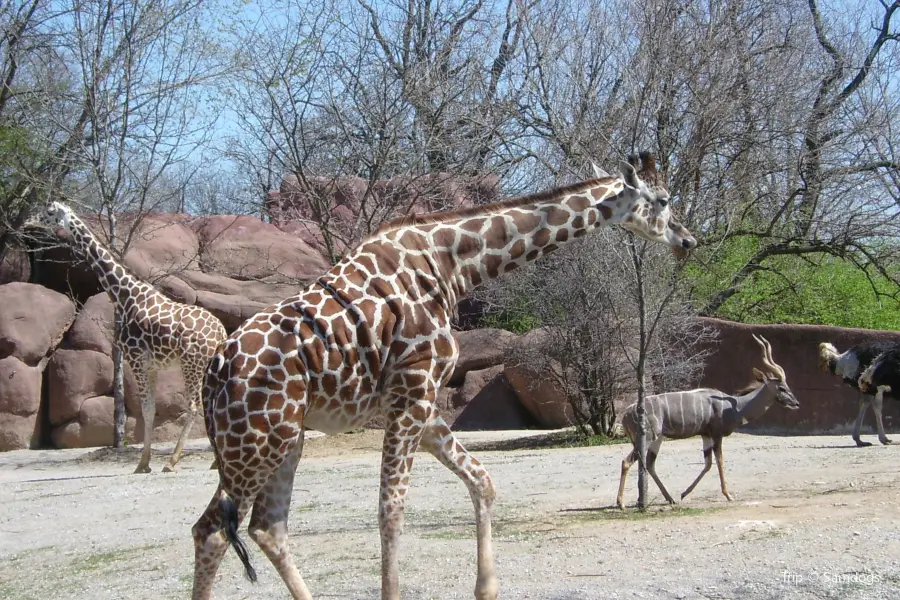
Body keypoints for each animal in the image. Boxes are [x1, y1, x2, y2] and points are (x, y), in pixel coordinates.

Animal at [31, 202, 229, 474]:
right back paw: (214, 460)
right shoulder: (151, 365)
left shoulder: (136, 358)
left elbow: (146, 410)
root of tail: (221, 331)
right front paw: (145, 462)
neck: (125, 296)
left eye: (49, 211)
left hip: (192, 363)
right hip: (207, 364)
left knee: (193, 406)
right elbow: (151, 408)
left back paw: (172, 462)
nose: (31, 221)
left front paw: (142, 464)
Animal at [188, 151, 696, 600]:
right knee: (212, 530)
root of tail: (214, 372)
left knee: (265, 527)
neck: (451, 267)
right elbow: (391, 512)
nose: (688, 240)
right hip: (254, 443)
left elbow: (483, 482)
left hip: (284, 439)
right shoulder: (412, 392)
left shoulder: (424, 403)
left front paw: (487, 590)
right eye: (664, 199)